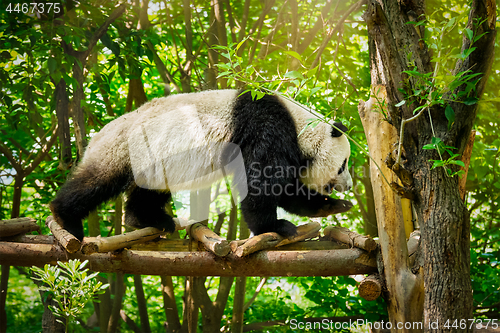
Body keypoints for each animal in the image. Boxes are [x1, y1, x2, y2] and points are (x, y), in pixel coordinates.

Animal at [49, 89, 352, 240]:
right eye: (343, 164)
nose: (348, 186)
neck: (301, 126)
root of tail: (96, 135)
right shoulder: (265, 127)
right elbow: (261, 183)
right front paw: (275, 227)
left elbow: (287, 190)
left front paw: (332, 206)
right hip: (123, 148)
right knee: (96, 181)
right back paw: (66, 218)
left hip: (153, 162)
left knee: (148, 192)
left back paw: (149, 219)